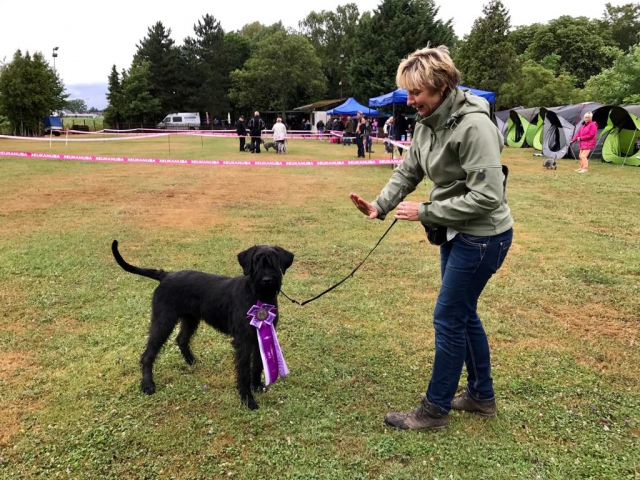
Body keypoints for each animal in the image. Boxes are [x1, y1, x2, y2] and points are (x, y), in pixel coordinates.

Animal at [112, 240, 296, 408]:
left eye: (275, 261)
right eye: (256, 261)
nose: (267, 280)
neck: (258, 295)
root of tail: (166, 276)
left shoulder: (259, 336)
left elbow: (258, 365)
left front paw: (257, 387)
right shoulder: (243, 341)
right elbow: (244, 371)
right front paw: (248, 400)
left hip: (190, 319)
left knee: (181, 339)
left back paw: (192, 361)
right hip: (163, 321)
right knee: (148, 354)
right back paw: (147, 384)